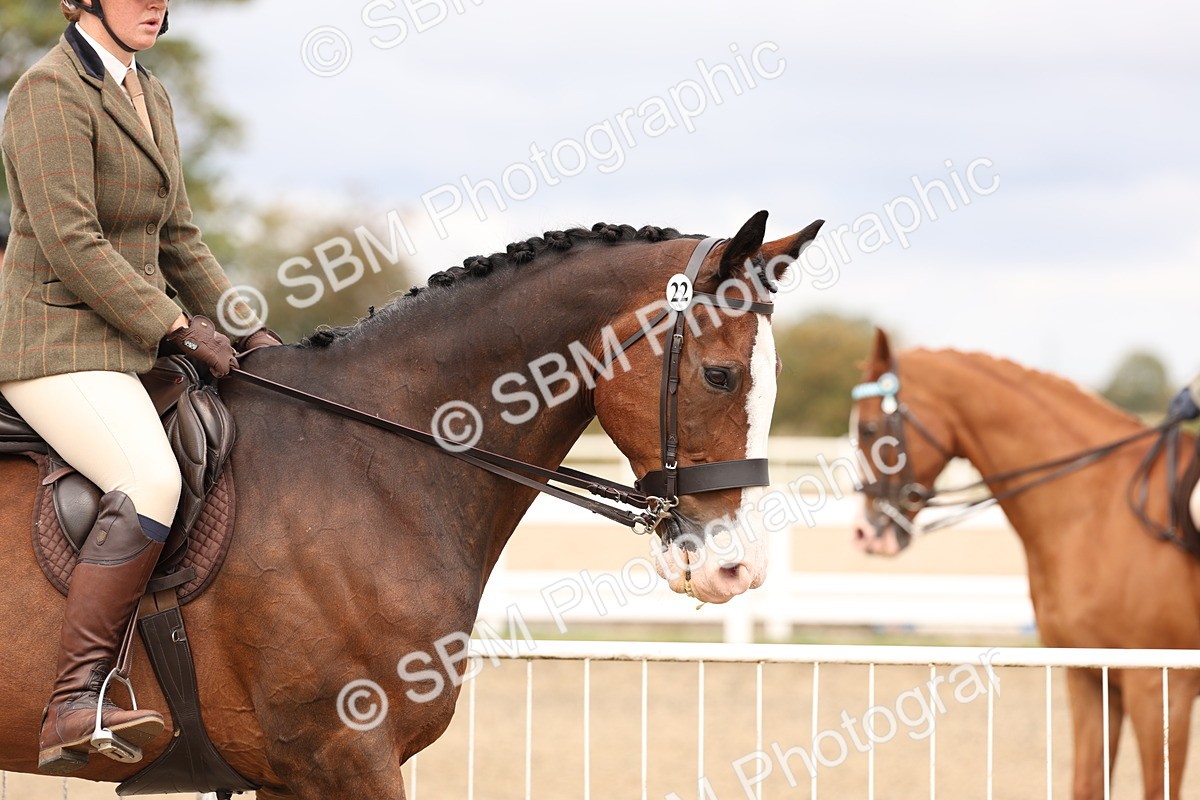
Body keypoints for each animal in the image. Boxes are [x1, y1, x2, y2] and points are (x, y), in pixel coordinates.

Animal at [848, 328, 1200, 800]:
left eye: (869, 428)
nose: (865, 533)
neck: (1095, 510)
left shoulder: (1160, 688)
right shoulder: (1090, 679)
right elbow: (1086, 783)